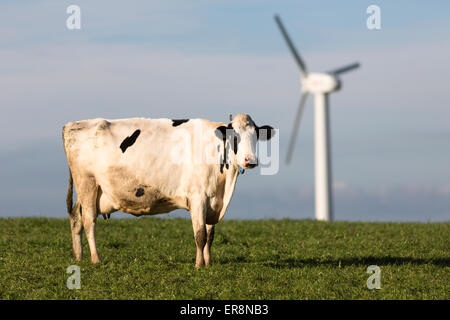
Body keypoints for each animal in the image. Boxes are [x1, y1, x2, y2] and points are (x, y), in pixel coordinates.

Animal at [62, 114, 274, 266]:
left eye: (256, 136)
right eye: (234, 137)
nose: (250, 160)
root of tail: (73, 125)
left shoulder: (212, 200)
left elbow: (210, 236)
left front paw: (208, 263)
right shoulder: (197, 197)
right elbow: (200, 235)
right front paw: (199, 265)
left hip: (91, 189)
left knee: (76, 218)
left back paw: (79, 256)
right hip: (87, 182)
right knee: (89, 221)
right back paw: (96, 259)